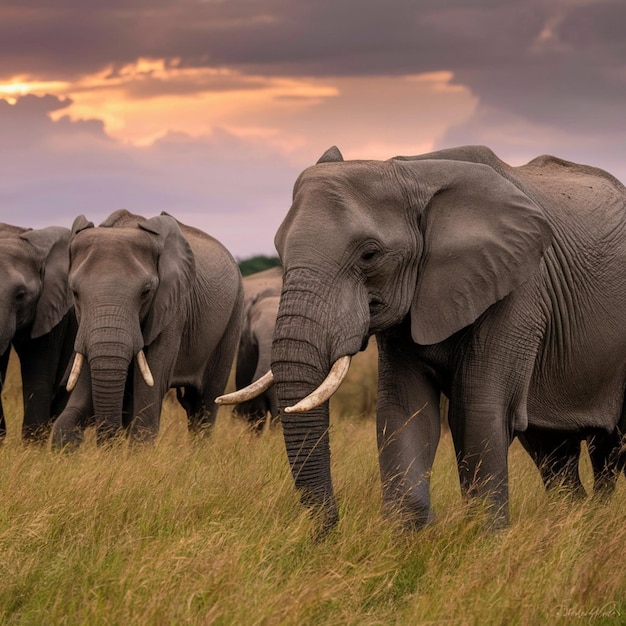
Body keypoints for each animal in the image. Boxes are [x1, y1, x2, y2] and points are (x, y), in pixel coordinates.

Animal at [51, 208, 243, 444]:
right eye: (74, 292)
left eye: (146, 292)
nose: (108, 442)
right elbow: (76, 405)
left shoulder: (173, 309)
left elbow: (149, 397)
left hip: (233, 316)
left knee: (205, 402)